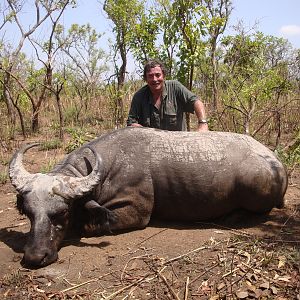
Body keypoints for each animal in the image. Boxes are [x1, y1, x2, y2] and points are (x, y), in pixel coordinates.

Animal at [8, 127, 288, 268]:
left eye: (61, 213)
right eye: (29, 214)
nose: (34, 258)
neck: (104, 166)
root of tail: (277, 163)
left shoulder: (136, 213)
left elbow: (89, 226)